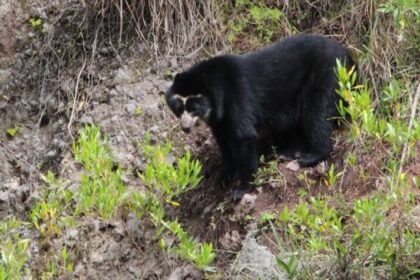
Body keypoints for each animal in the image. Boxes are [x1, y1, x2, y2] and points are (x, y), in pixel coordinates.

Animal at [166, 34, 356, 200]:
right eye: (178, 108)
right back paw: (288, 153)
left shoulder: (237, 96)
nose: (185, 127)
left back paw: (309, 156)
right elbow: (224, 142)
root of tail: (349, 56)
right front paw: (222, 177)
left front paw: (240, 190)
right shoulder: (220, 120)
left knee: (315, 116)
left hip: (327, 77)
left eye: (193, 108)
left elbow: (244, 137)